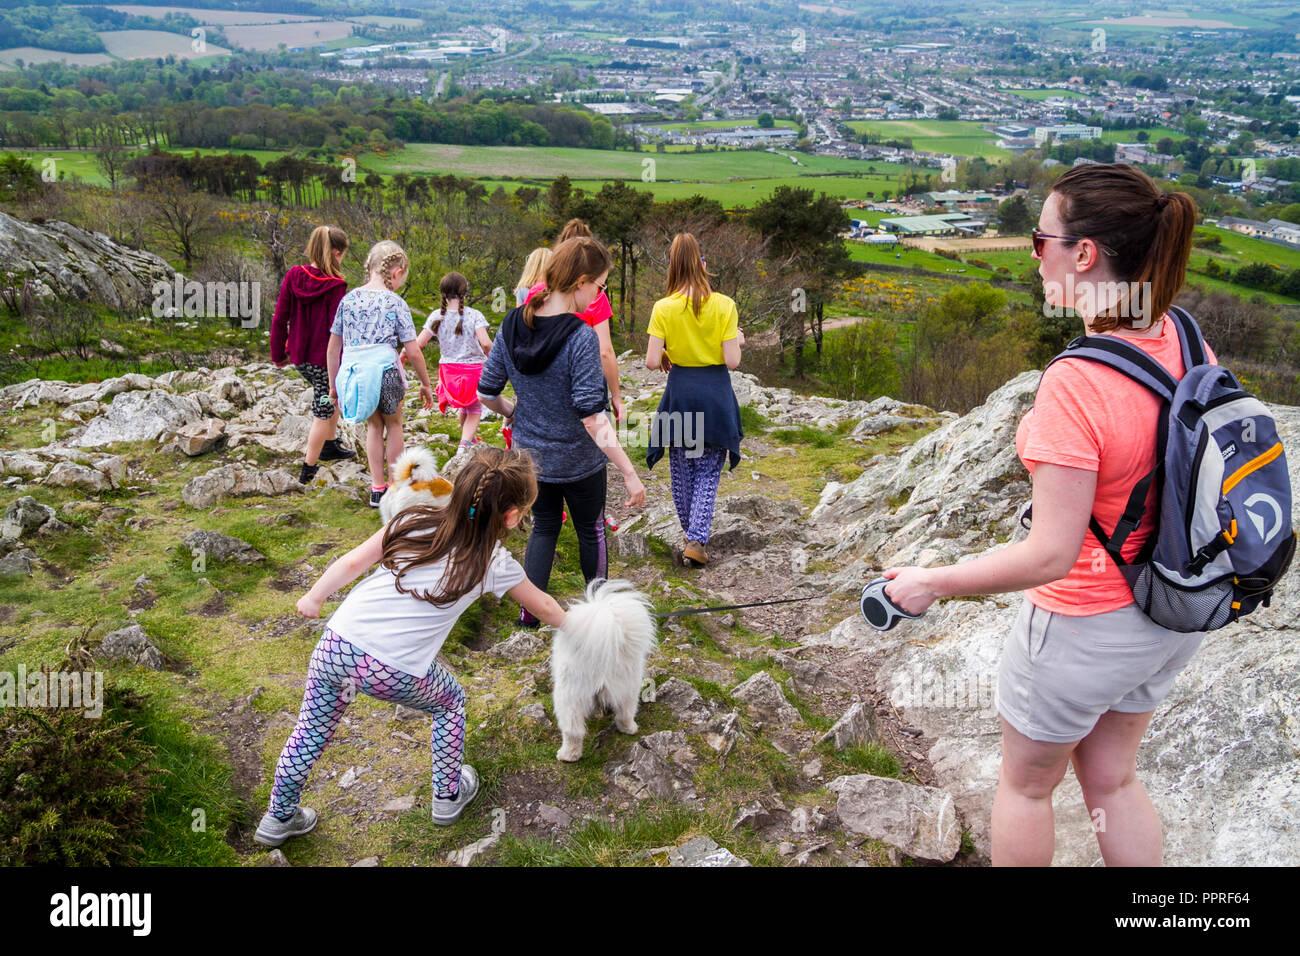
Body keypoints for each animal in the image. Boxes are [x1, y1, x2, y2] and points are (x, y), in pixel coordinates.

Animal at [551, 574, 660, 764]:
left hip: (568, 695)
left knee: (573, 730)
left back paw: (567, 755)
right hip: (630, 686)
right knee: (625, 712)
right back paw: (629, 728)